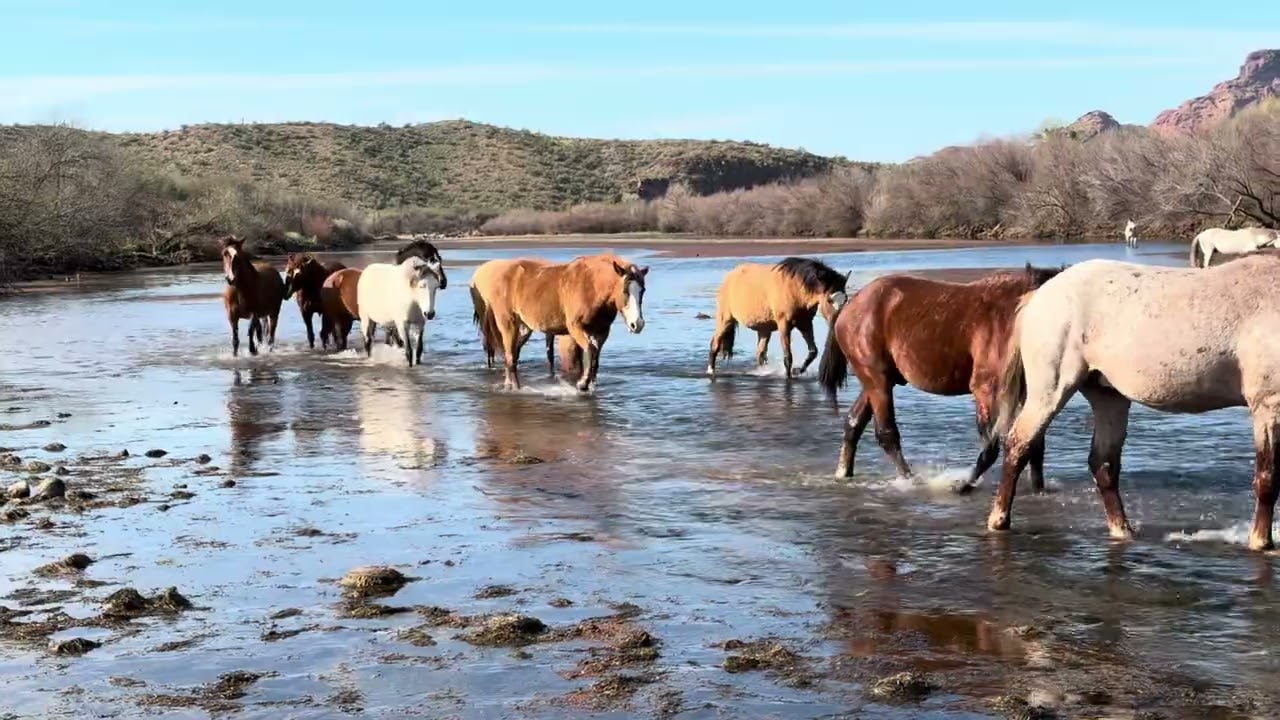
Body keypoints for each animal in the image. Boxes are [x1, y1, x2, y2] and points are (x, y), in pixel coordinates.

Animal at [481, 254, 649, 391]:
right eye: (625, 291)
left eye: (642, 290)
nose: (637, 324)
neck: (591, 286)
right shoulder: (575, 328)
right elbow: (589, 351)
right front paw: (582, 383)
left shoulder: (601, 332)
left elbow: (595, 357)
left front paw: (590, 384)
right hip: (508, 324)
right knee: (510, 356)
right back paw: (516, 388)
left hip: (524, 328)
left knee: (512, 354)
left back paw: (508, 384)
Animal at [707, 257, 851, 378]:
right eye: (829, 300)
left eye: (846, 299)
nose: (837, 323)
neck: (794, 288)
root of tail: (729, 277)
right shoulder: (784, 325)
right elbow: (788, 357)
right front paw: (789, 377)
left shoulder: (805, 323)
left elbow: (813, 351)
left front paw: (798, 370)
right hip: (725, 319)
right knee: (715, 343)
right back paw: (711, 370)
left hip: (764, 329)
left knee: (760, 353)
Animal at [817, 264, 1062, 487]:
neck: (1015, 317)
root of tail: (850, 306)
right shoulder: (986, 390)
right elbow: (990, 447)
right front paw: (964, 484)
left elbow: (1034, 446)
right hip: (877, 379)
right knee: (886, 432)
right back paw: (910, 479)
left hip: (877, 381)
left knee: (853, 423)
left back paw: (844, 473)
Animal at [989, 253, 1280, 551]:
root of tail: (1039, 295)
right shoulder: (1268, 405)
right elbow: (1268, 478)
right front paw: (1261, 541)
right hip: (1050, 391)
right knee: (1018, 445)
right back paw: (999, 520)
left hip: (1108, 397)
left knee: (1103, 464)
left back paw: (1123, 531)